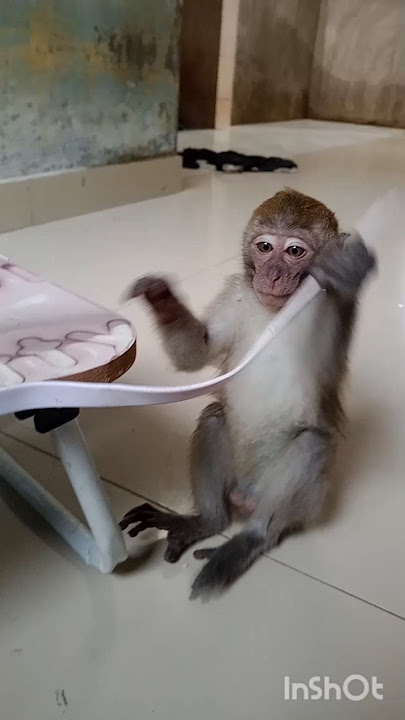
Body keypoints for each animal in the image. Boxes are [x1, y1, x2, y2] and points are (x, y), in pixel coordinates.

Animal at [120, 189, 376, 599]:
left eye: (294, 251)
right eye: (265, 247)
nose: (272, 274)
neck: (275, 309)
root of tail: (246, 496)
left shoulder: (319, 303)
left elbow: (322, 364)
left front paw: (348, 272)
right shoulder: (237, 294)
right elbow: (198, 353)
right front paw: (161, 298)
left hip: (303, 504)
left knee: (312, 445)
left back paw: (250, 539)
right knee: (214, 418)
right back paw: (208, 521)